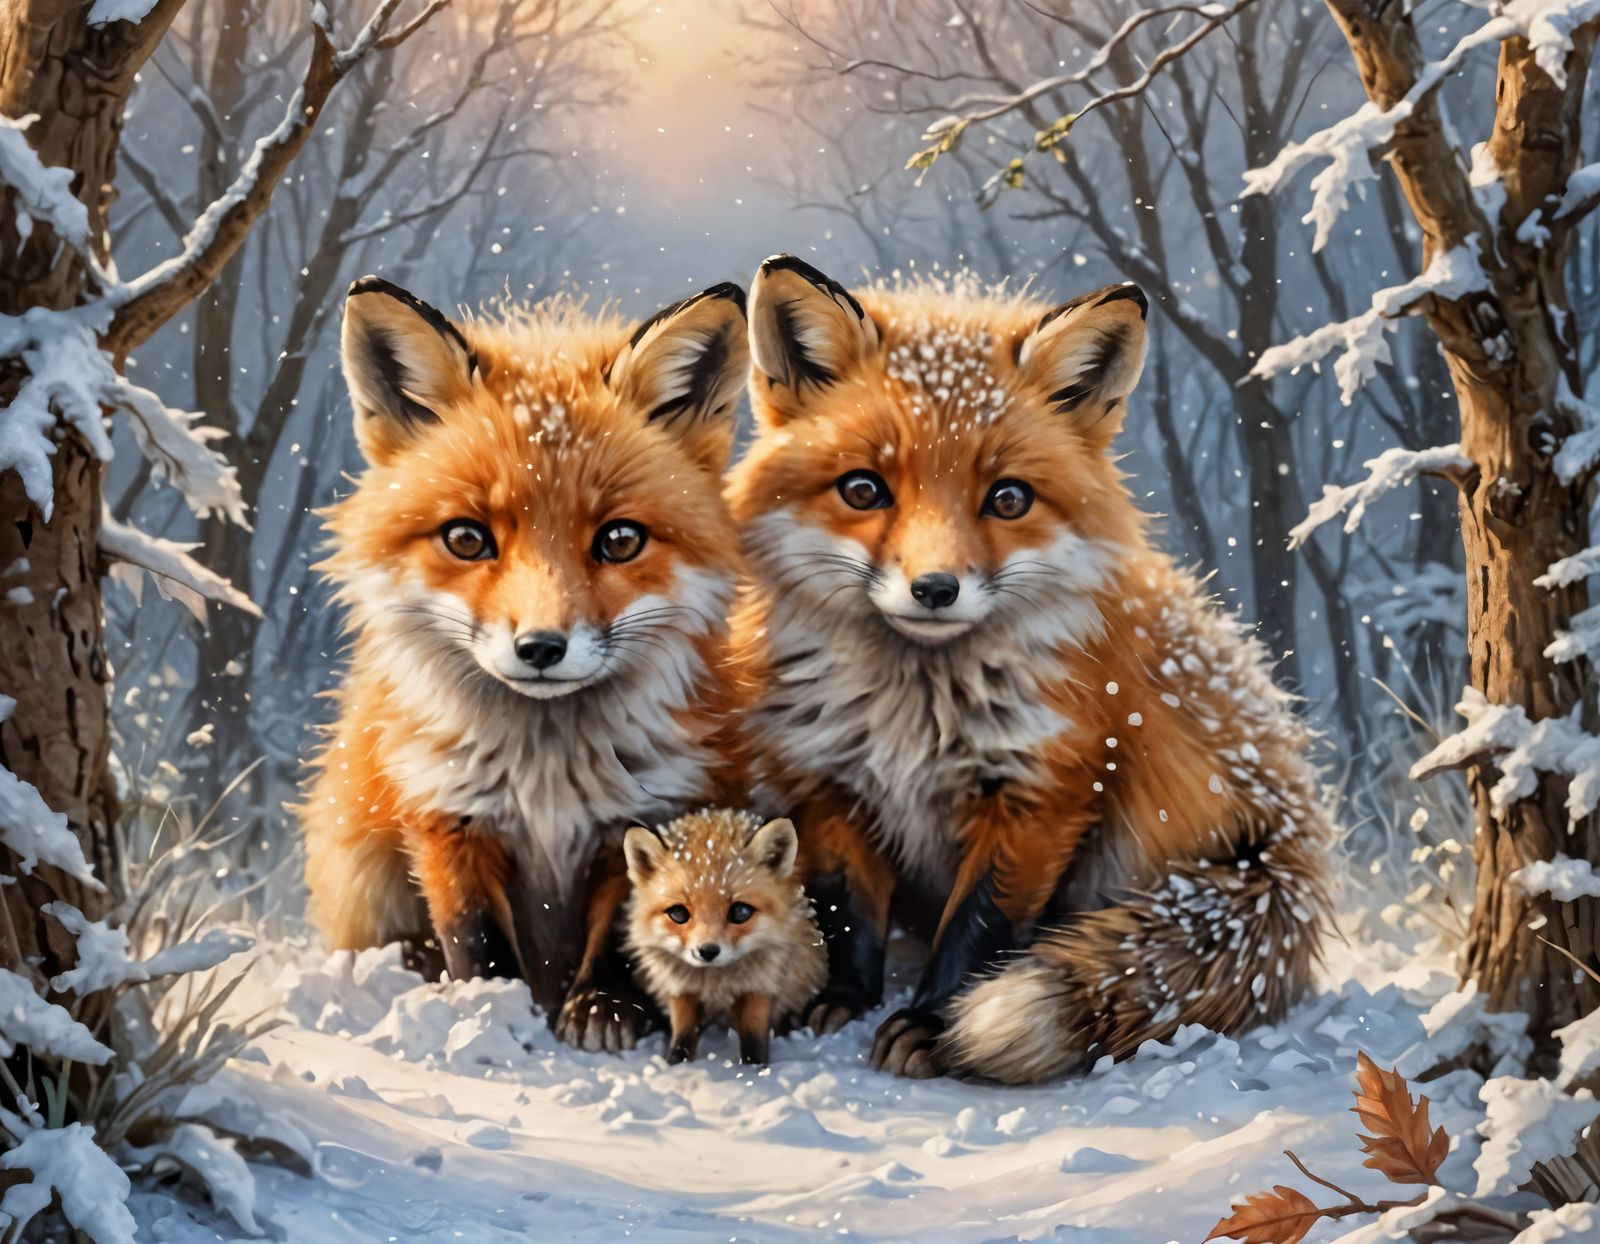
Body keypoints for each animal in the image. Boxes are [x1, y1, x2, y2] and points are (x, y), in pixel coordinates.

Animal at [300, 275, 751, 1048]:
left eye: (620, 540)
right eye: (466, 538)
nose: (540, 647)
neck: (547, 777)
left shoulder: (645, 814)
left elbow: (622, 933)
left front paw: (604, 1010)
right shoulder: (447, 818)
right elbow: (474, 939)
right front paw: (494, 1013)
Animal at [622, 807, 826, 1065]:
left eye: (740, 912)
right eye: (678, 913)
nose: (707, 951)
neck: (716, 984)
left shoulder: (760, 985)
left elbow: (754, 1036)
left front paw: (755, 1068)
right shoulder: (680, 989)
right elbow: (683, 1033)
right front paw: (676, 1064)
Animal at [725, 255, 1331, 1083]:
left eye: (1008, 499)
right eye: (863, 489)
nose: (935, 589)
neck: (911, 714)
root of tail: (1297, 856)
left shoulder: (1042, 796)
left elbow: (981, 928)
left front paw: (931, 1025)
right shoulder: (829, 782)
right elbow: (849, 911)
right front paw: (840, 999)